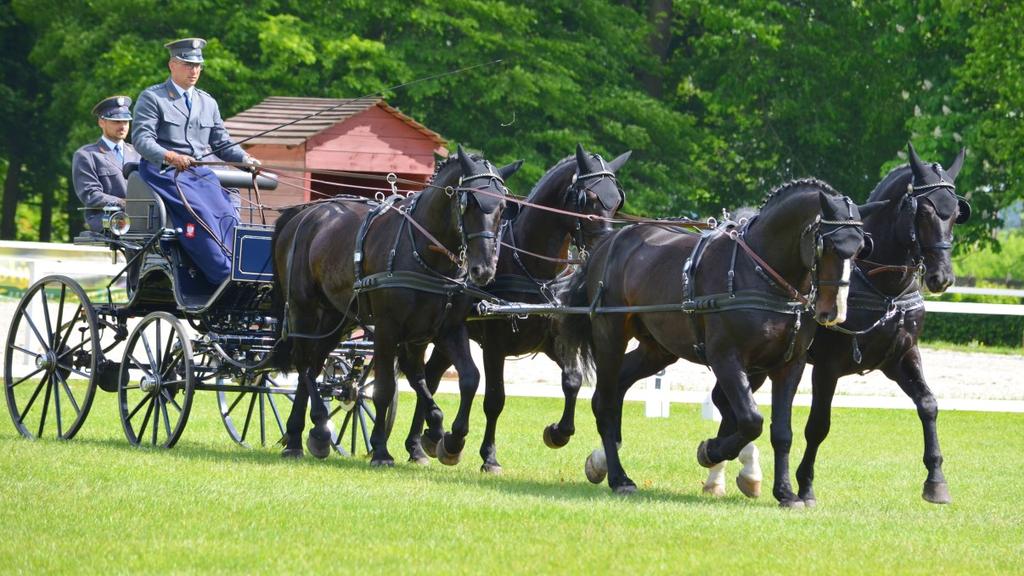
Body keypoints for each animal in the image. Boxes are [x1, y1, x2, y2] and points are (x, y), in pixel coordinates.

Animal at [270, 145, 520, 463]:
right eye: (469, 204)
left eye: (502, 209)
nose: (483, 270)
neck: (425, 253)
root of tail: (304, 213)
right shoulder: (387, 328)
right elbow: (385, 388)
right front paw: (380, 448)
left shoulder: (446, 329)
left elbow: (467, 378)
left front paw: (449, 438)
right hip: (303, 308)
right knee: (304, 362)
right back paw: (316, 428)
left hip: (335, 318)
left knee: (313, 364)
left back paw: (298, 436)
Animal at [411, 143, 626, 471]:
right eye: (587, 198)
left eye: (616, 202)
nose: (605, 246)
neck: (532, 267)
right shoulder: (494, 345)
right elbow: (495, 400)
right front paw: (488, 456)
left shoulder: (553, 340)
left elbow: (573, 381)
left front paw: (558, 432)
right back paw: (419, 443)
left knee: (432, 376)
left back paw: (422, 443)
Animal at [557, 177, 876, 491]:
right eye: (827, 244)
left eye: (861, 247)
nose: (834, 311)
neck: (760, 273)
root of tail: (608, 243)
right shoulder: (726, 358)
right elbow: (751, 420)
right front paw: (711, 451)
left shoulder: (790, 364)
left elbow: (781, 432)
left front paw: (786, 492)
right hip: (610, 335)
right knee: (605, 402)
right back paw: (618, 476)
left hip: (658, 349)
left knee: (617, 386)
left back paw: (601, 462)